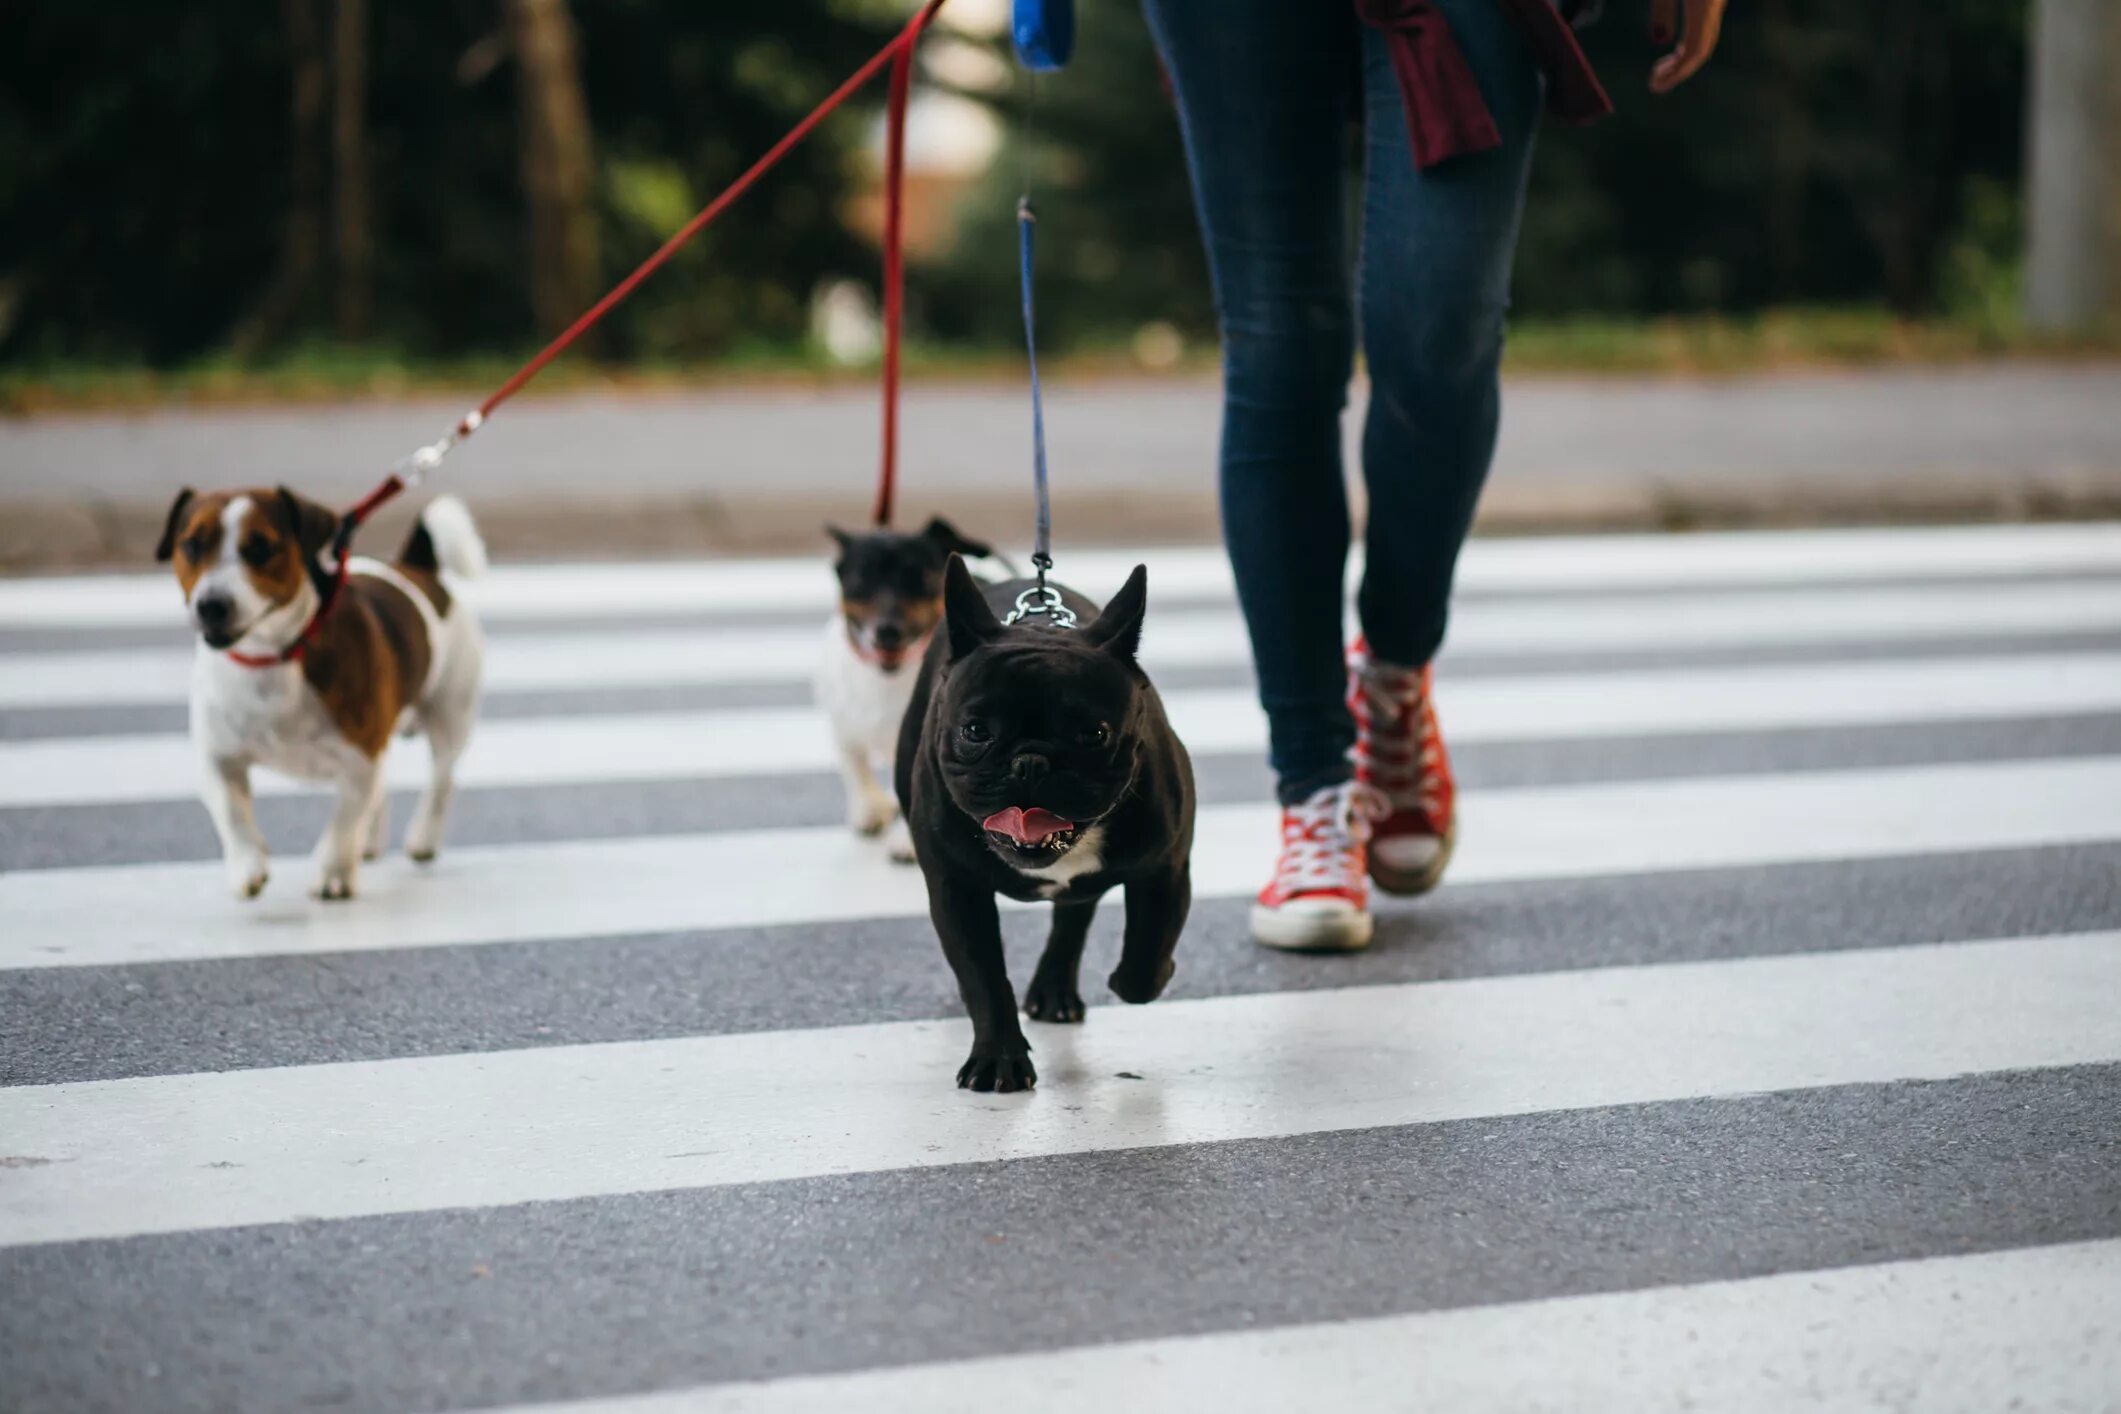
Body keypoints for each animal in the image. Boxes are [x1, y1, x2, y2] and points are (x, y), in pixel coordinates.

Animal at [156, 487, 487, 903]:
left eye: (261, 548)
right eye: (192, 545)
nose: (212, 605)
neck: (272, 657)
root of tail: (415, 566)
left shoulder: (359, 758)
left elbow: (343, 823)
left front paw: (333, 875)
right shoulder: (218, 757)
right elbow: (232, 814)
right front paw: (248, 866)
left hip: (450, 714)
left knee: (441, 778)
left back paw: (423, 837)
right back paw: (369, 842)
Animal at [890, 555, 1196, 1093]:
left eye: (1095, 734)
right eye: (975, 731)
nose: (1030, 762)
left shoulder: (1167, 869)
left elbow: (1148, 948)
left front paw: (1135, 978)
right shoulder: (956, 888)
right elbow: (984, 976)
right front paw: (998, 1059)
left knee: (1075, 913)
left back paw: (1056, 989)